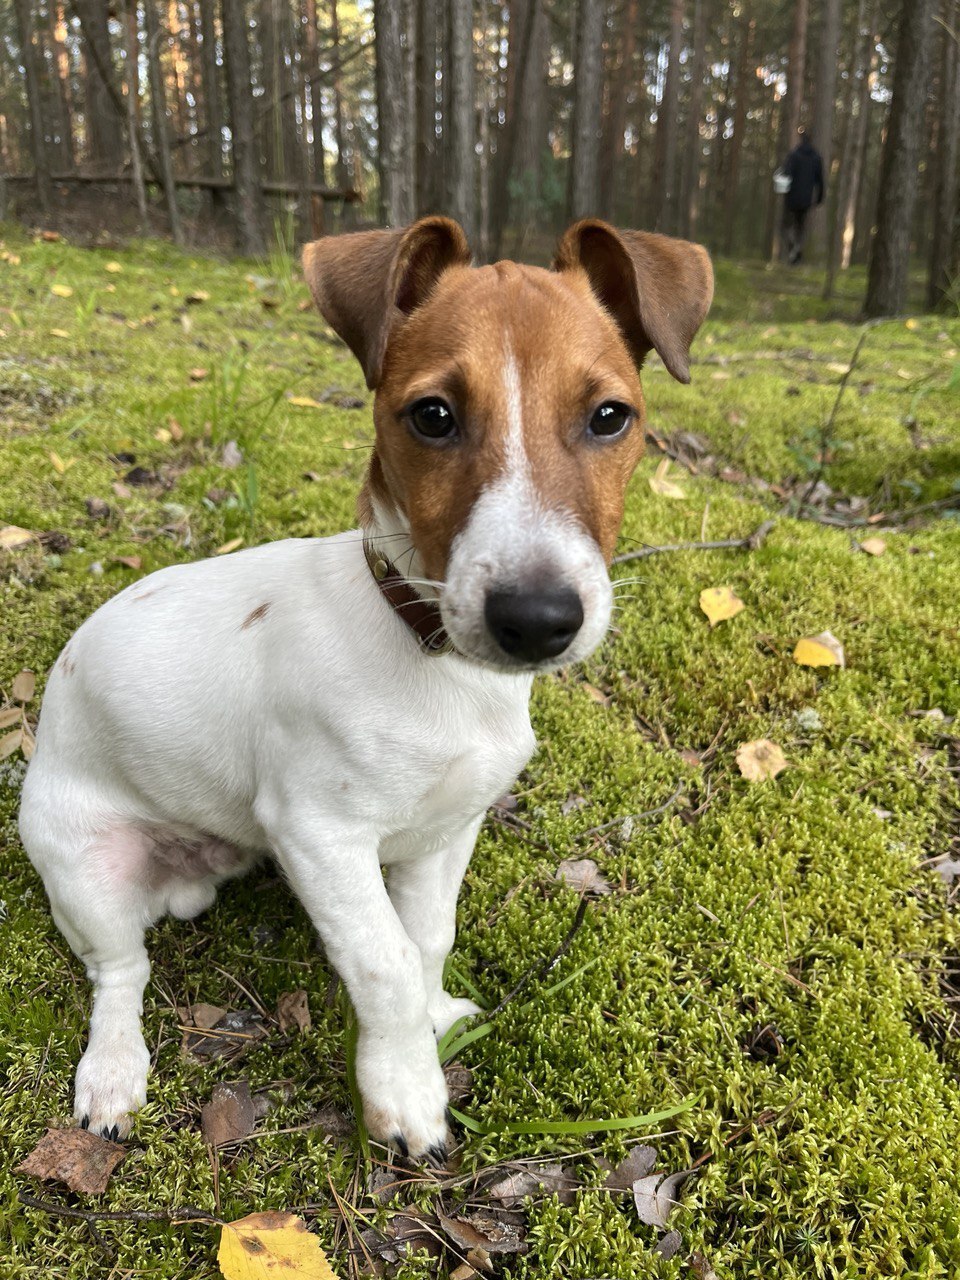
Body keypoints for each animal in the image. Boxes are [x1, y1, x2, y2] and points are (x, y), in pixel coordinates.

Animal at [16, 217, 716, 1162]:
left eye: (611, 416)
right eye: (433, 416)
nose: (537, 620)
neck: (434, 662)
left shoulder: (447, 831)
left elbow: (425, 943)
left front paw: (432, 1018)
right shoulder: (320, 836)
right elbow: (383, 963)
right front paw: (405, 1090)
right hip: (83, 867)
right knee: (121, 972)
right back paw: (114, 1073)